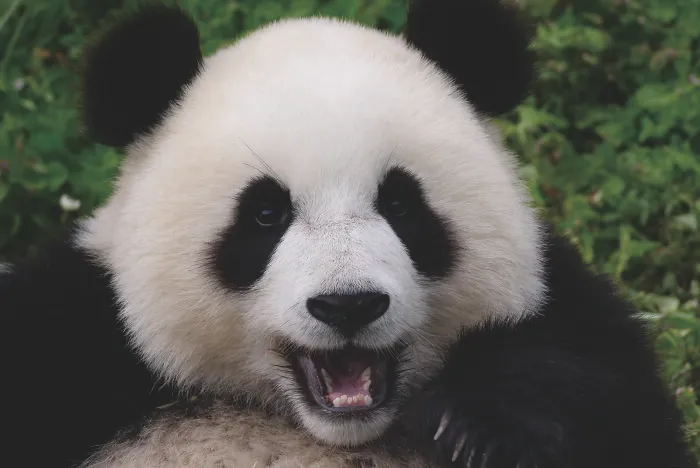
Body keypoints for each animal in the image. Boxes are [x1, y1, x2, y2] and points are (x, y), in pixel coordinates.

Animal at [1, 0, 696, 467]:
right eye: (265, 215)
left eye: (401, 203)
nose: (348, 305)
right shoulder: (76, 336)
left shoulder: (573, 316)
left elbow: (602, 396)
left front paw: (480, 422)